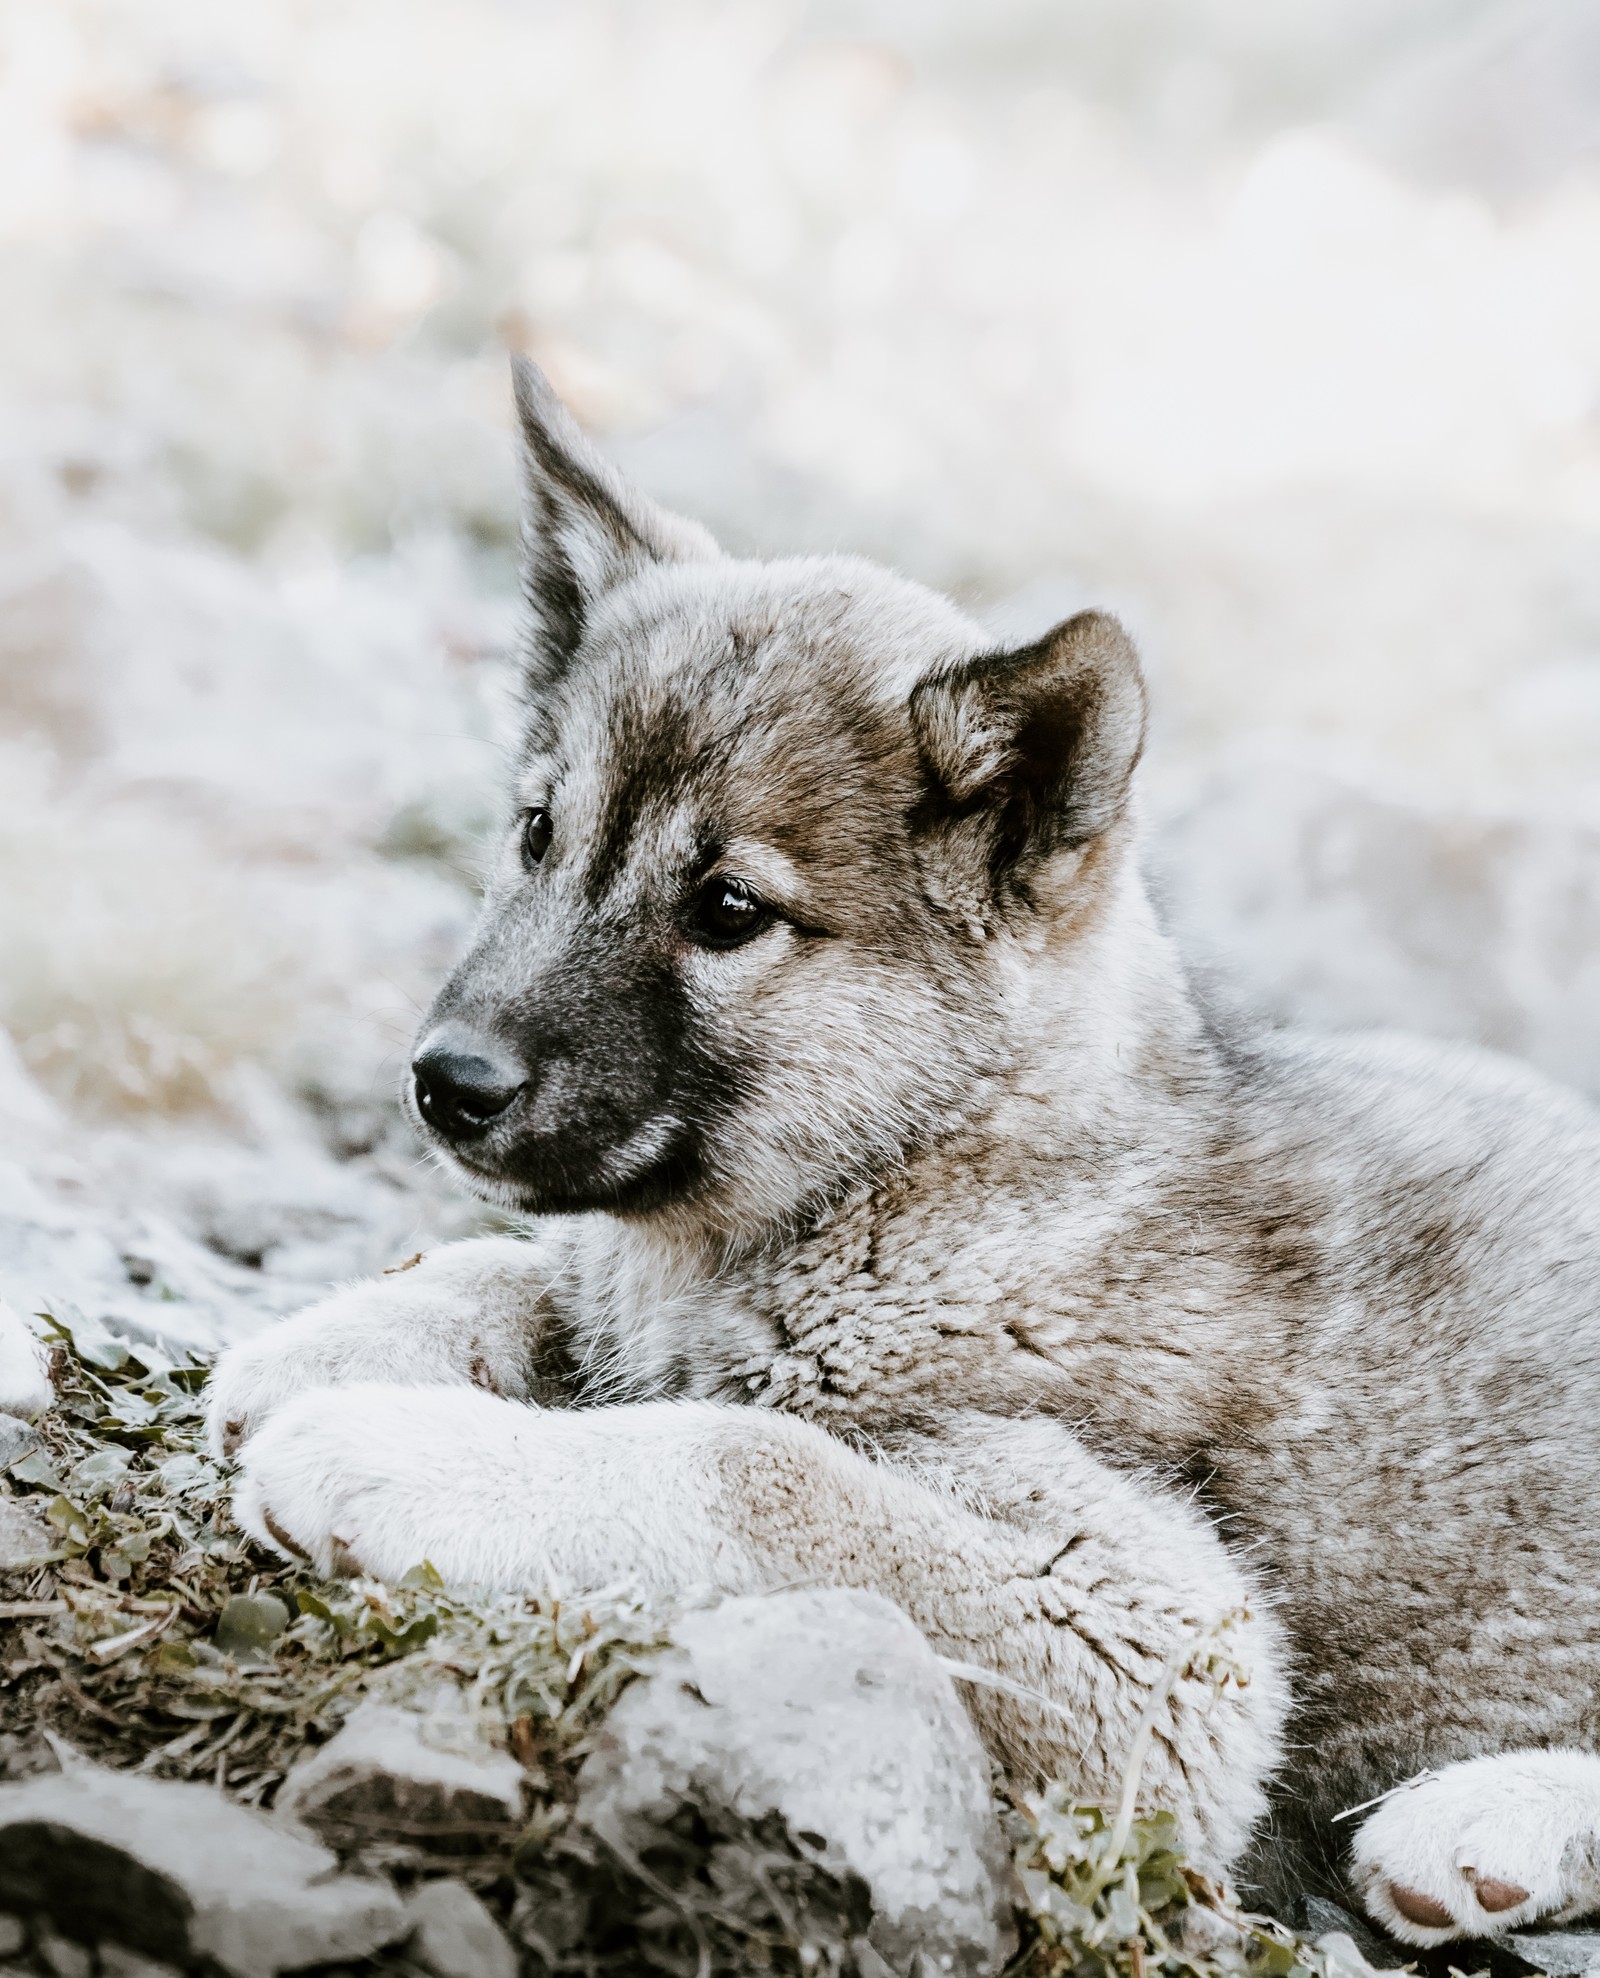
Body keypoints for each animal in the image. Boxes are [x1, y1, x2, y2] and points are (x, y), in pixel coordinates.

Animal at [212, 363, 1600, 1938]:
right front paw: (325, 1345)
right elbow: (520, 1272)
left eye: (729, 909)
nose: (446, 1083)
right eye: (536, 834)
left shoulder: (1159, 1633)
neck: (930, 1176)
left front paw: (385, 1449)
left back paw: (1491, 1820)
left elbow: (747, 1456)